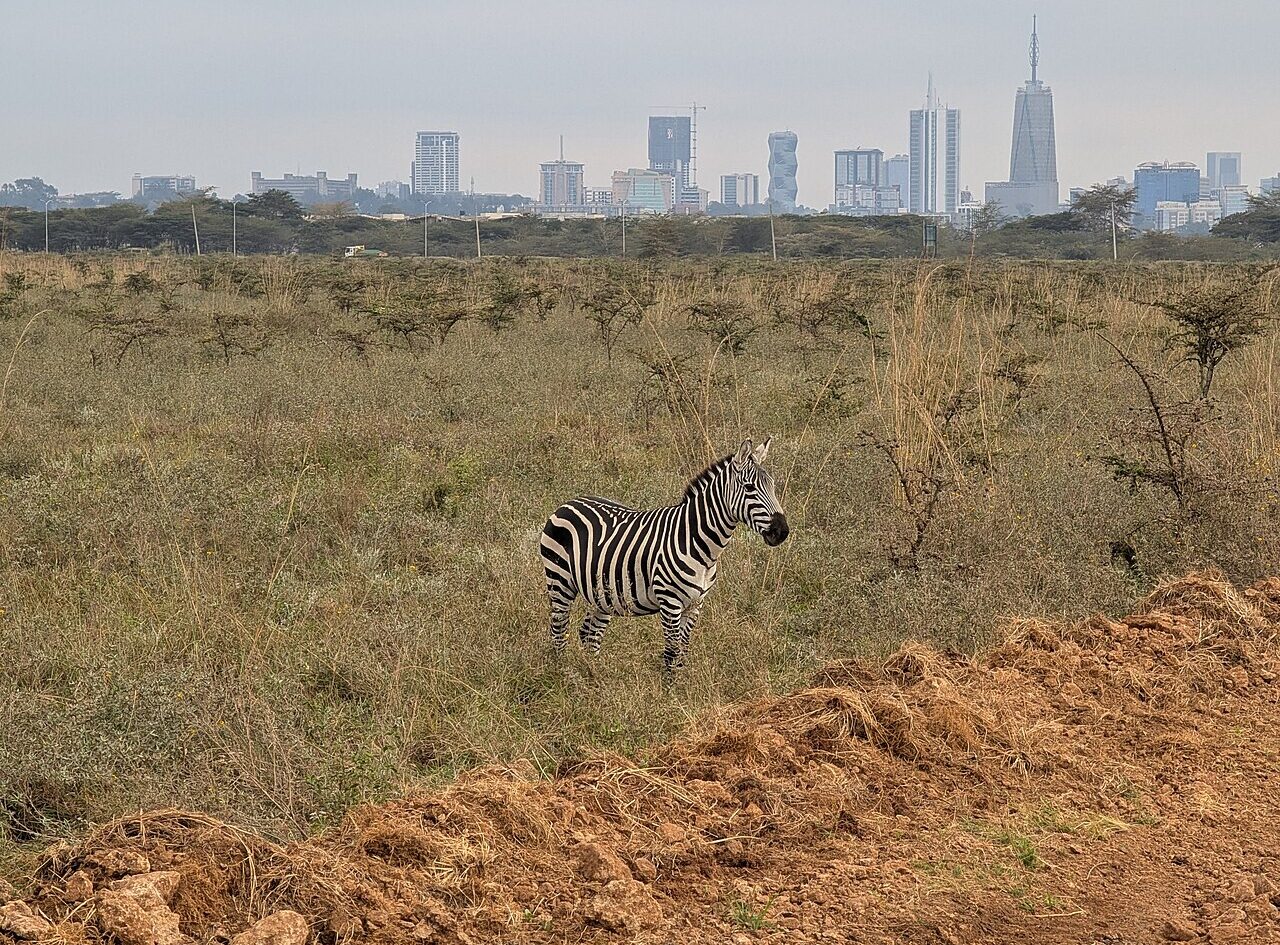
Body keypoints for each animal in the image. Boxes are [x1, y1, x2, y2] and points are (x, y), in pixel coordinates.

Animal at [539, 437, 789, 675]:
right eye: (749, 488)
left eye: (773, 486)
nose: (782, 532)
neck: (697, 543)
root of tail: (568, 503)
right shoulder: (670, 602)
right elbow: (672, 652)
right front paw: (670, 689)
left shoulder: (695, 605)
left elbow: (683, 651)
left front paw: (681, 686)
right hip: (559, 581)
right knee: (559, 630)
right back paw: (564, 675)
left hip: (602, 593)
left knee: (589, 634)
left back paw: (595, 676)